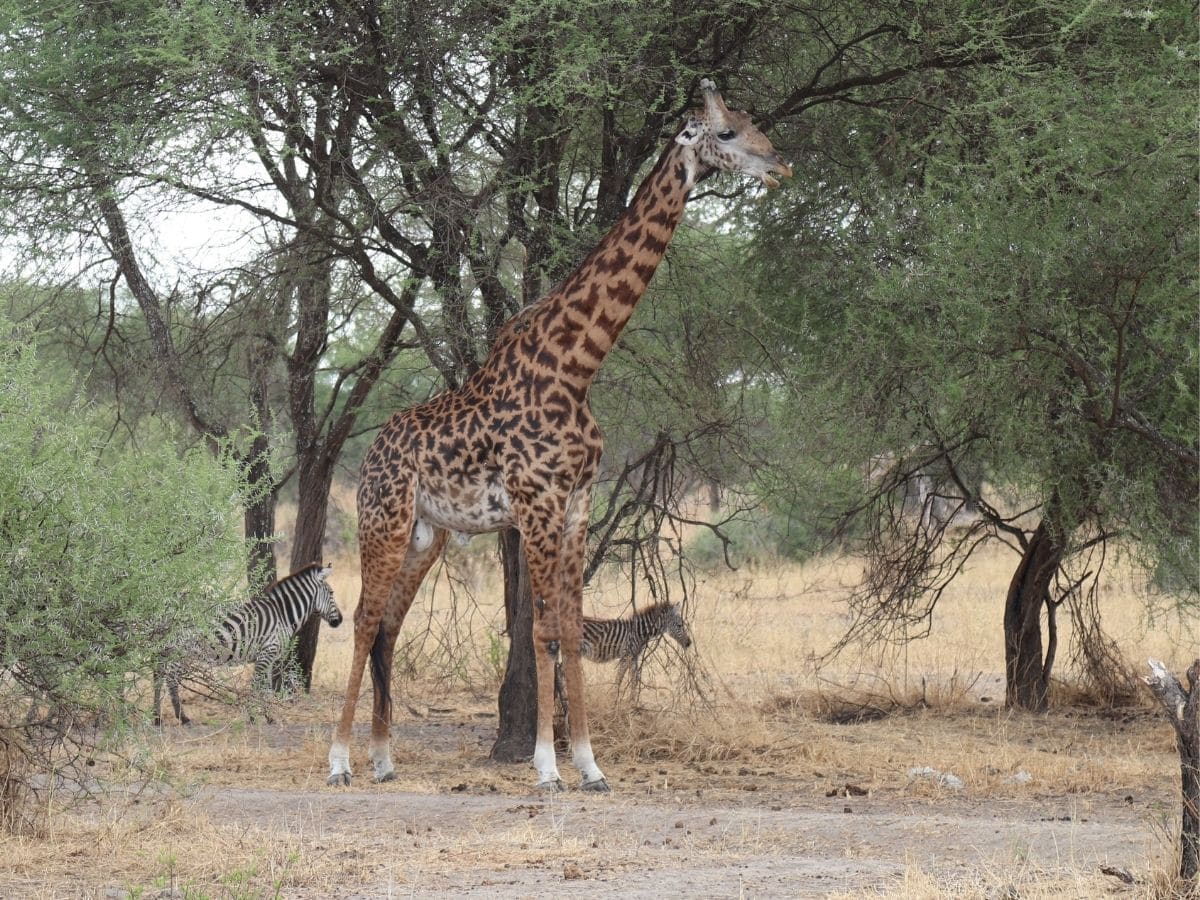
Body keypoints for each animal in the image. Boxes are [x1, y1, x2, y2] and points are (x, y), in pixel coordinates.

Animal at [154, 563, 342, 725]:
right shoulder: (267, 653)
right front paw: (254, 717)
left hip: (165, 649)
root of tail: (167, 603)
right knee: (170, 679)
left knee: (158, 676)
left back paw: (157, 717)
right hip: (181, 650)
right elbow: (256, 687)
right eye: (332, 593)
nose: (339, 620)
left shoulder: (269, 657)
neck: (282, 615)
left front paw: (269, 717)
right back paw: (182, 717)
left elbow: (266, 688)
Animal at [328, 78, 791, 791]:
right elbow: (541, 629)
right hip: (383, 521)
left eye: (752, 122)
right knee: (362, 619)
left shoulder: (576, 504)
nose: (780, 166)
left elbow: (571, 628)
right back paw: (339, 761)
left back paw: (383, 759)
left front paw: (590, 765)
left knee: (389, 628)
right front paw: (546, 765)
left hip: (427, 535)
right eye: (728, 133)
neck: (577, 364)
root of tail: (373, 452)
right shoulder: (539, 503)